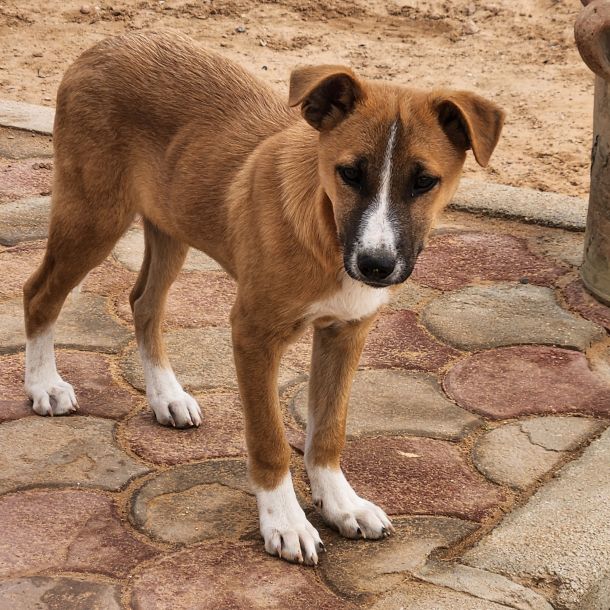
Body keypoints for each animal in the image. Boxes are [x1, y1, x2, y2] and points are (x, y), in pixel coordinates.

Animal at [21, 30, 502, 564]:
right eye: (349, 174)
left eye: (424, 181)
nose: (375, 266)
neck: (325, 232)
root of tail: (107, 42)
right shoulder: (253, 335)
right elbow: (269, 438)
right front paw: (286, 522)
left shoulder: (346, 332)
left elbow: (329, 427)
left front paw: (341, 503)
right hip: (93, 217)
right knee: (38, 294)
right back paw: (44, 385)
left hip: (170, 224)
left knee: (144, 303)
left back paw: (166, 396)